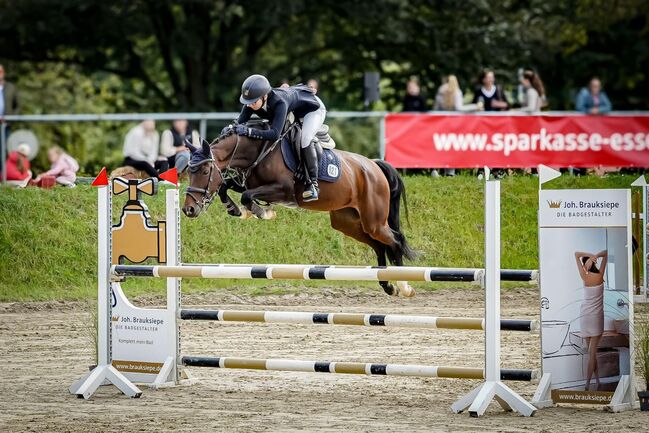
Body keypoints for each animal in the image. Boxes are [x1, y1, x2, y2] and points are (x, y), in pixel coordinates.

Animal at [182, 128, 417, 297]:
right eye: (189, 171)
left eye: (205, 171)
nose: (189, 209)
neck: (259, 151)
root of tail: (374, 166)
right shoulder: (248, 183)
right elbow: (226, 186)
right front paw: (236, 210)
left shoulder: (283, 190)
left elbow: (247, 196)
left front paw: (261, 213)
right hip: (347, 222)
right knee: (379, 245)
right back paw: (388, 286)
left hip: (373, 221)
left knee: (395, 241)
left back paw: (404, 286)